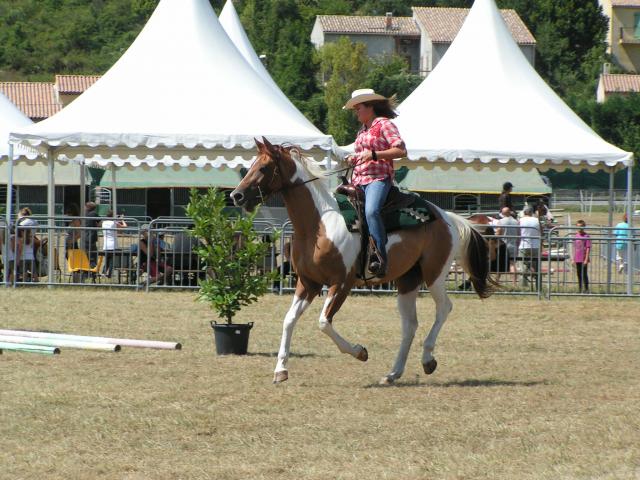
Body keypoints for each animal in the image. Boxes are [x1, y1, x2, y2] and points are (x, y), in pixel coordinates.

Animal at [231, 138, 496, 382]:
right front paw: (281, 370)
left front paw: (360, 352)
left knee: (444, 308)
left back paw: (427, 360)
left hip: (435, 274)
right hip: (407, 280)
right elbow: (288, 320)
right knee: (410, 324)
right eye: (251, 164)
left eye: (263, 167)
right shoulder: (307, 283)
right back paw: (393, 373)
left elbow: (323, 322)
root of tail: (447, 217)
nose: (237, 195)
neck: (319, 224)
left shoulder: (341, 283)